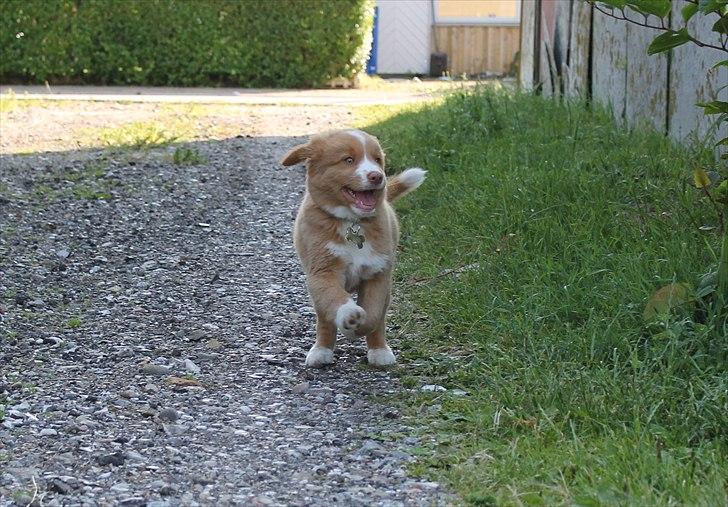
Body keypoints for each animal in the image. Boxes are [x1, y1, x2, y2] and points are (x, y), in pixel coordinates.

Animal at [280, 129, 426, 368]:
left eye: (377, 160)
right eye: (348, 160)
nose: (377, 176)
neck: (352, 222)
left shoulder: (378, 273)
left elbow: (374, 314)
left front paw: (359, 330)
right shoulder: (322, 273)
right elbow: (336, 300)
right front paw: (349, 317)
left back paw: (379, 350)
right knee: (324, 318)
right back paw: (321, 350)